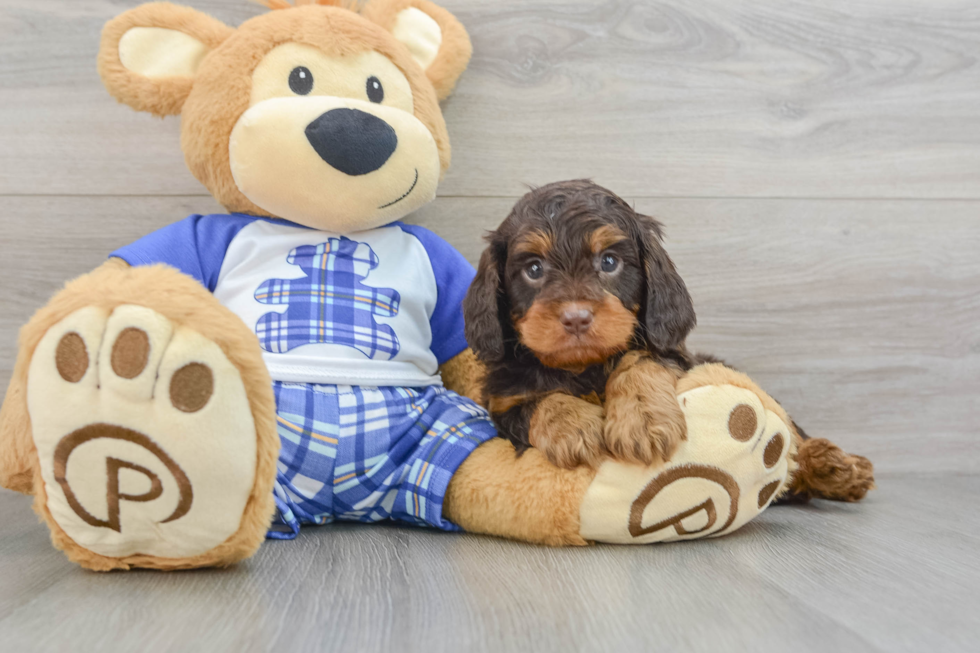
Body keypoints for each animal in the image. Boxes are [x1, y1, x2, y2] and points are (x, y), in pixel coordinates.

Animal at [462, 180, 696, 468]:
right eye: (534, 269)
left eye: (609, 261)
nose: (575, 318)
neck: (580, 367)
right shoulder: (502, 402)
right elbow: (540, 400)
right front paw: (572, 425)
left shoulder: (677, 355)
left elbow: (643, 360)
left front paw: (642, 415)